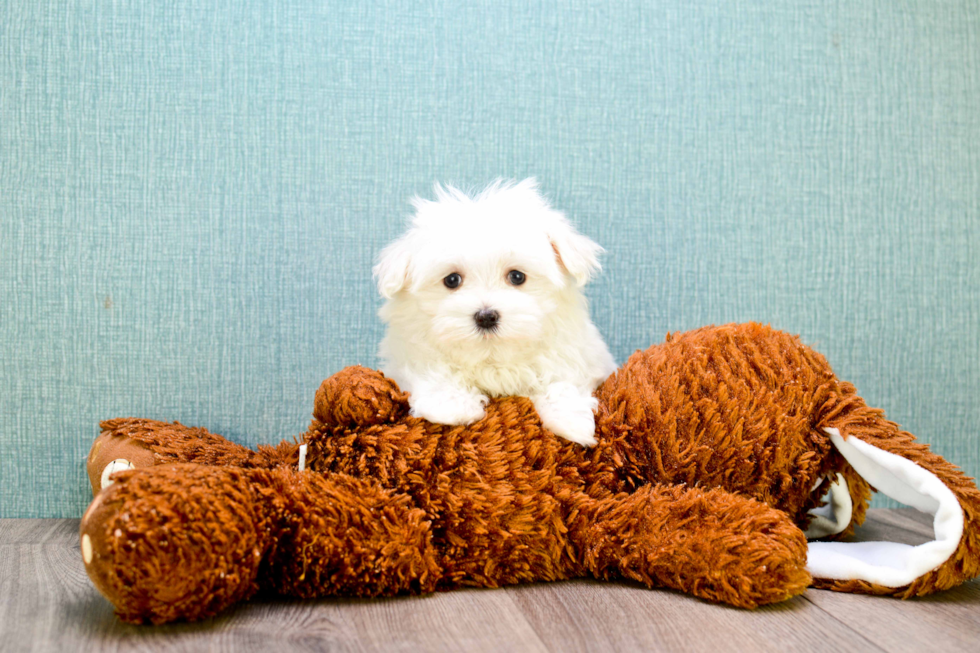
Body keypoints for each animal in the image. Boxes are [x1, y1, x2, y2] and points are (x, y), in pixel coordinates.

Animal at [372, 178, 616, 444]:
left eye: (517, 276)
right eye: (452, 280)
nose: (486, 316)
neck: (493, 358)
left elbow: (562, 378)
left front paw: (571, 422)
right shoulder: (408, 354)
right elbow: (433, 370)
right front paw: (452, 406)